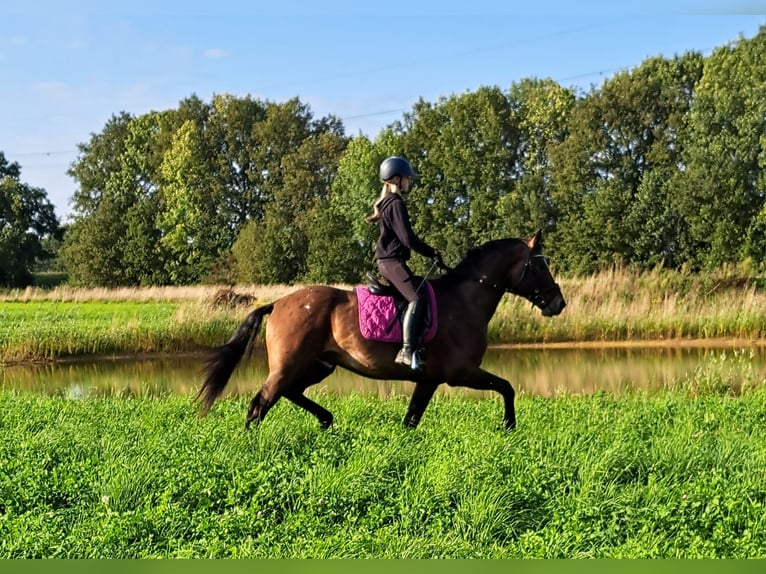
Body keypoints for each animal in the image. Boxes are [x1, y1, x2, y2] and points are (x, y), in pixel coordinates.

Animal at [198, 230, 568, 432]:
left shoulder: (429, 380)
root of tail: (277, 303)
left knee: (290, 393)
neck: (465, 299)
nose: (558, 303)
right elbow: (507, 388)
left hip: (319, 365)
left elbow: (411, 419)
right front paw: (509, 427)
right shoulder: (461, 372)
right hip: (289, 366)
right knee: (260, 404)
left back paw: (326, 419)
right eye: (539, 266)